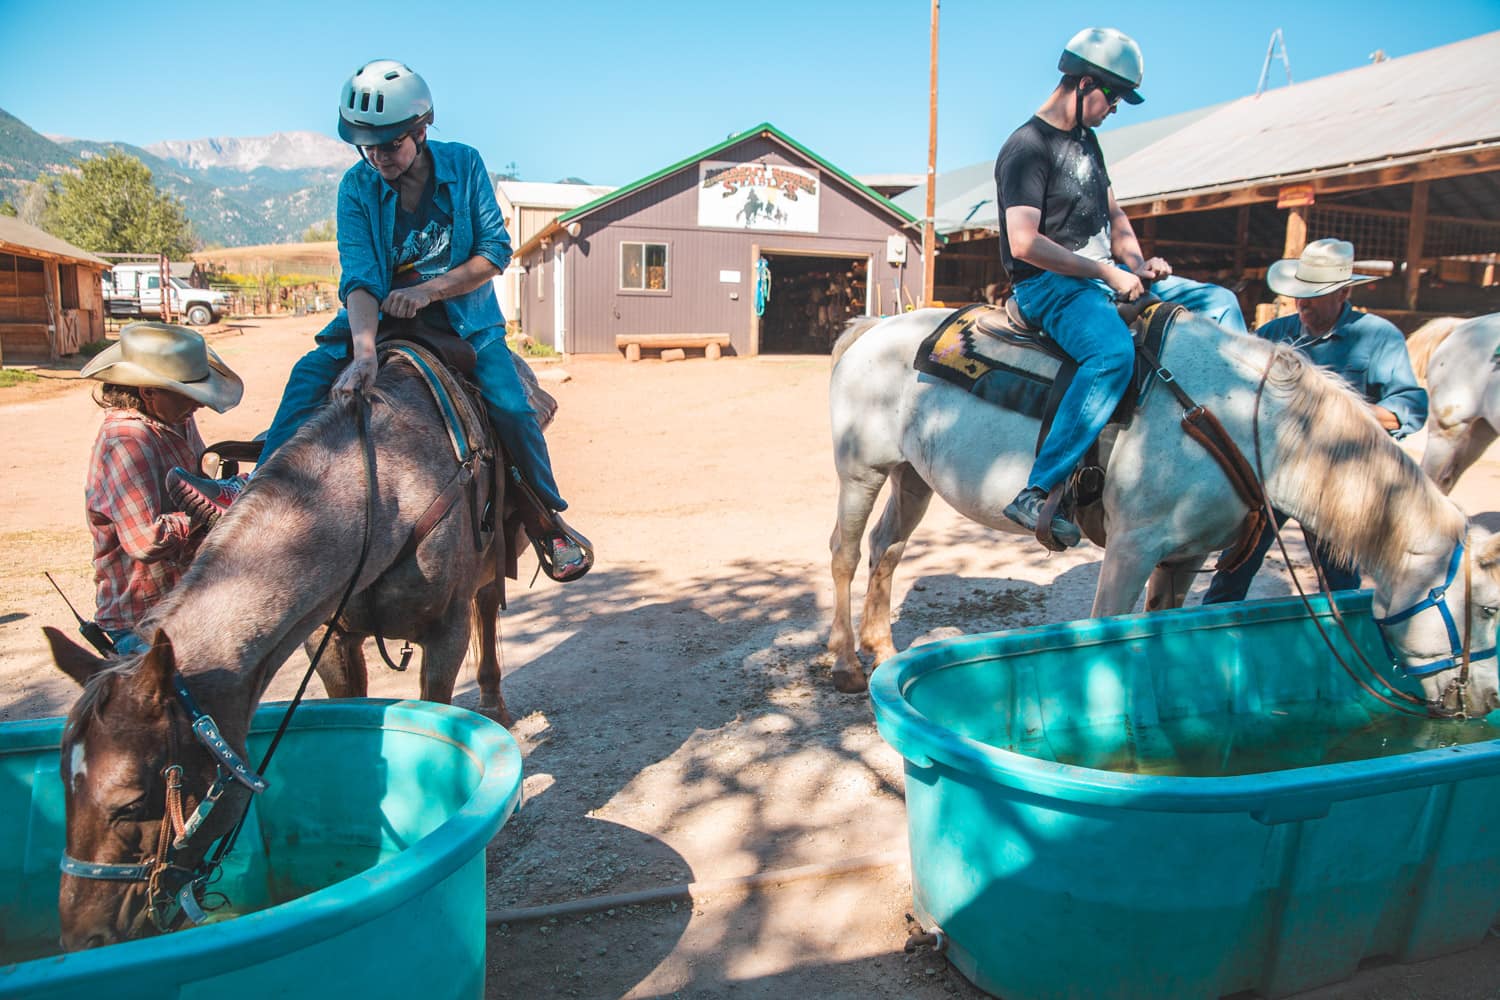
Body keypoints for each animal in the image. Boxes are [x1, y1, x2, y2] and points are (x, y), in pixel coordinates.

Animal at [44, 351, 520, 949]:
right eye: (63, 787)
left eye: (131, 802)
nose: (83, 938)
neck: (384, 490)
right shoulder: (332, 637)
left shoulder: (445, 632)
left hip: (488, 574)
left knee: (488, 612)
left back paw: (496, 704)